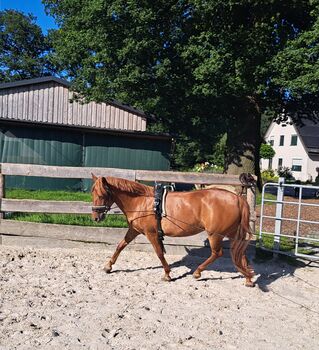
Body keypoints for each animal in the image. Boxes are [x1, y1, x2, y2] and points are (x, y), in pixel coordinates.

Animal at [90, 175, 255, 288]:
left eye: (102, 195)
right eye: (93, 193)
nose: (96, 217)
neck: (142, 202)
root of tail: (238, 199)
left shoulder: (151, 233)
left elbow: (159, 253)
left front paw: (167, 274)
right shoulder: (134, 230)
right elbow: (120, 246)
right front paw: (108, 266)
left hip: (215, 234)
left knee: (217, 253)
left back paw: (198, 272)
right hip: (232, 234)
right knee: (240, 253)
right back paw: (248, 278)